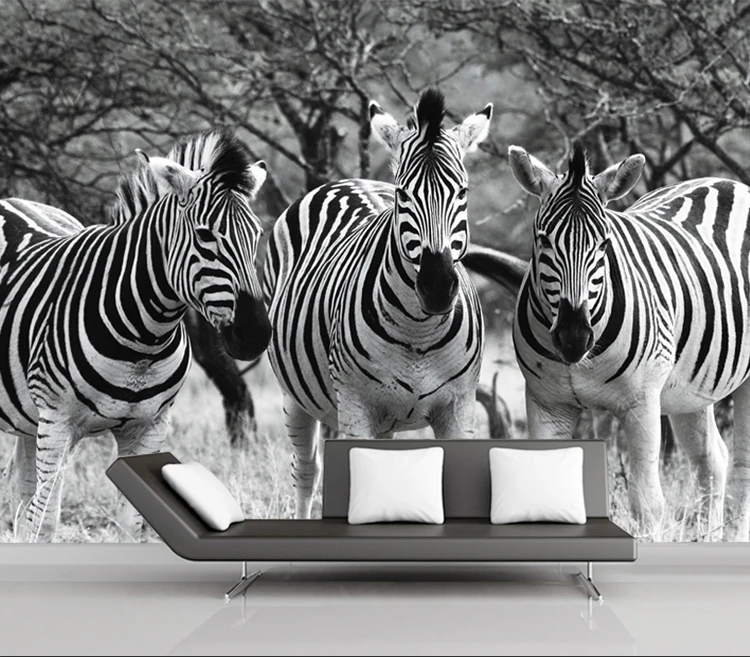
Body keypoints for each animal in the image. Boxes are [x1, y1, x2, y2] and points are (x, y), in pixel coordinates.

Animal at [1, 130, 271, 542]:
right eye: (205, 236)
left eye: (256, 234)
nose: (255, 335)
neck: (144, 340)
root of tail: (10, 200)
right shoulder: (58, 422)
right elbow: (45, 519)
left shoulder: (149, 426)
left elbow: (132, 521)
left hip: (29, 419)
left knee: (20, 493)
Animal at [262, 88, 493, 519]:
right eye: (403, 195)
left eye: (463, 193)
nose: (437, 288)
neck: (419, 333)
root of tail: (344, 180)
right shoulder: (356, 404)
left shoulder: (459, 406)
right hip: (295, 396)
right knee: (307, 471)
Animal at [468, 141, 750, 540]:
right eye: (542, 240)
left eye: (604, 243)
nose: (573, 338)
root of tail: (727, 182)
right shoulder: (546, 403)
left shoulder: (641, 403)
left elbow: (647, 503)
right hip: (690, 389)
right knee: (712, 460)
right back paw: (707, 538)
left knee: (742, 468)